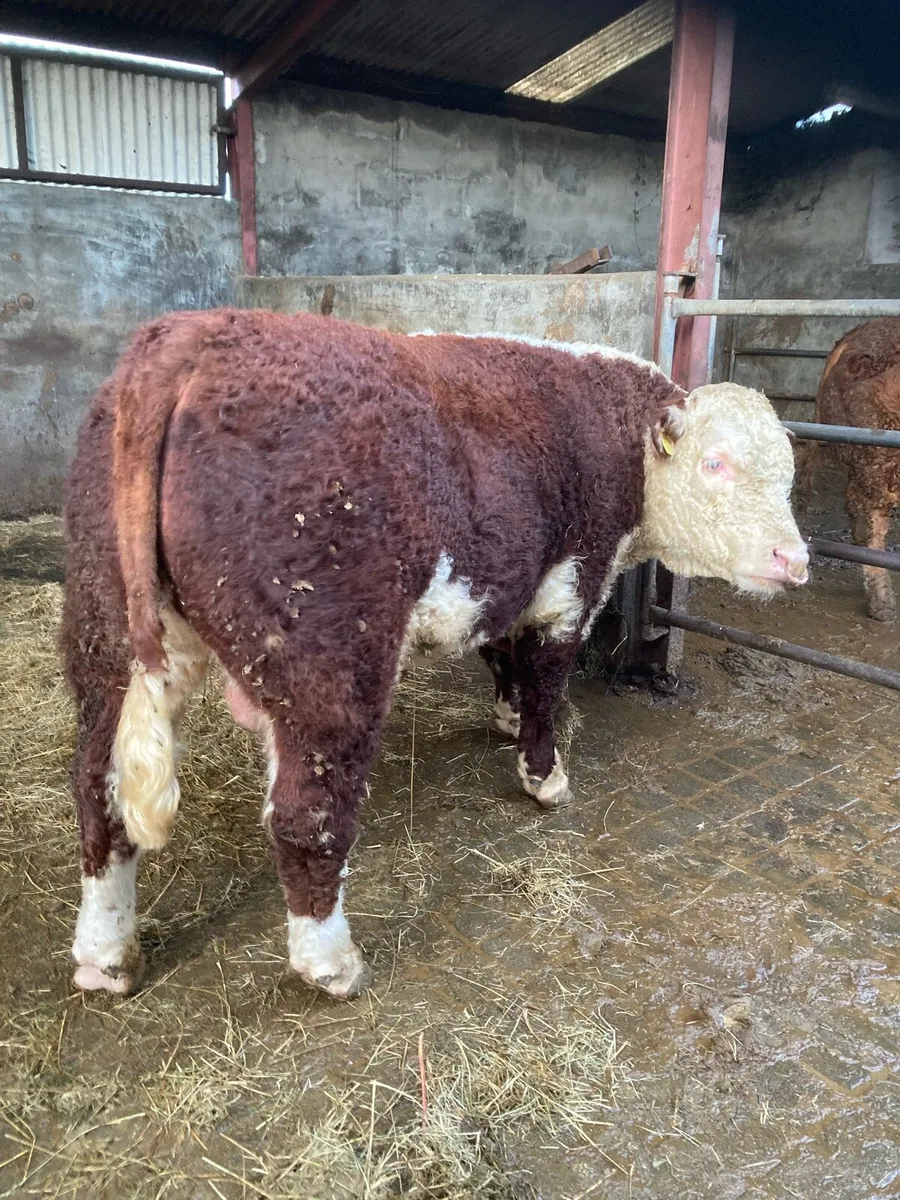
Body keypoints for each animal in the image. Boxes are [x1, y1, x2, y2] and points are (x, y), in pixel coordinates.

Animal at [61, 309, 809, 1000]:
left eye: (789, 475)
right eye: (716, 463)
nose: (795, 559)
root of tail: (191, 336)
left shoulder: (507, 576)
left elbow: (502, 654)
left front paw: (506, 719)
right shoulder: (574, 584)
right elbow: (545, 687)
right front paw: (543, 775)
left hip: (107, 636)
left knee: (101, 788)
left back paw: (106, 956)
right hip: (329, 663)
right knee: (305, 816)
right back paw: (329, 961)